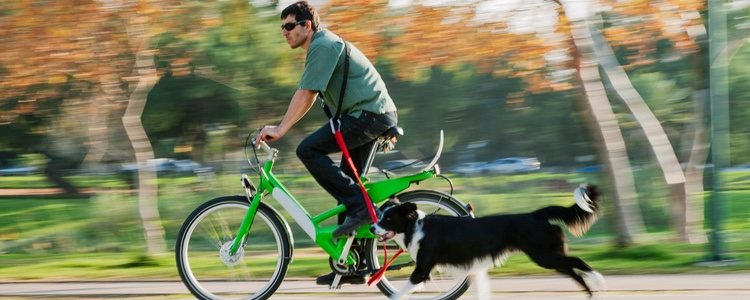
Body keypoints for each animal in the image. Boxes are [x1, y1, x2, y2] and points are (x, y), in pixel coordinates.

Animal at [374, 184, 608, 298]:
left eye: (388, 219)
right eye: (380, 215)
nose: (372, 228)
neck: (415, 226)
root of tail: (535, 215)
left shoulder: (422, 271)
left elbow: (398, 294)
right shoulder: (473, 269)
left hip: (545, 255)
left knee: (578, 262)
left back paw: (599, 282)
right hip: (550, 256)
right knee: (574, 271)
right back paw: (591, 294)